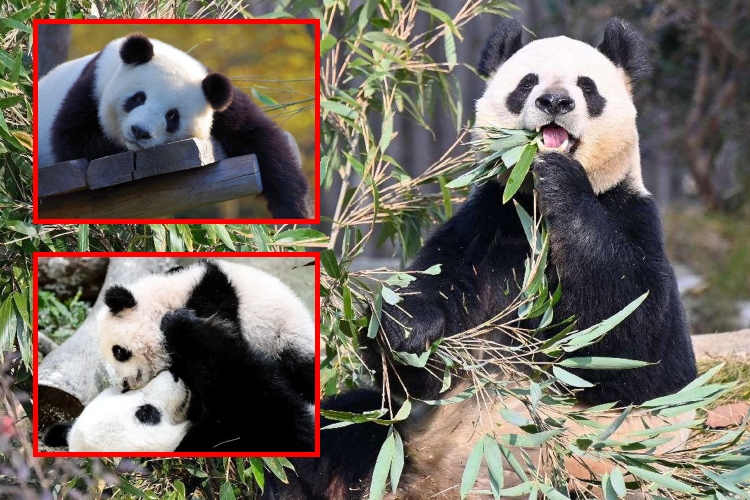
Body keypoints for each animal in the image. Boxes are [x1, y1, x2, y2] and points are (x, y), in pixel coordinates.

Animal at [38, 32, 311, 219]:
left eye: (172, 116)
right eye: (138, 98)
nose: (140, 132)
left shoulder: (218, 104)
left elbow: (260, 138)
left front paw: (294, 212)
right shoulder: (93, 86)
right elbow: (71, 139)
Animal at [267, 18, 697, 499]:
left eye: (587, 87)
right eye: (527, 83)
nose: (555, 101)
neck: (534, 211)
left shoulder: (632, 218)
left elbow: (636, 344)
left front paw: (561, 179)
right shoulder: (486, 227)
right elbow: (423, 346)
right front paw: (407, 329)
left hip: (599, 475)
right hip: (396, 441)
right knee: (331, 438)